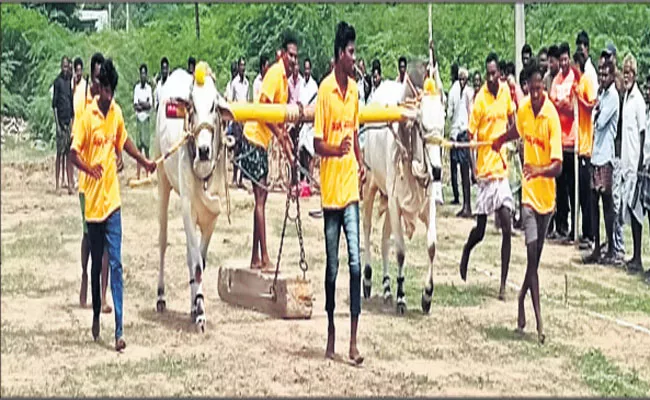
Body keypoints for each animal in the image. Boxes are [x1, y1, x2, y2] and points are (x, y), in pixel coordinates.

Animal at [153, 66, 232, 332]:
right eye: (192, 107)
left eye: (214, 106)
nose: (204, 151)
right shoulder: (188, 209)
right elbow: (197, 265)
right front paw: (200, 311)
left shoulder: (212, 217)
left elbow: (199, 261)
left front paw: (196, 306)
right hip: (163, 181)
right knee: (163, 242)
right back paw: (161, 296)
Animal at [360, 79, 446, 314]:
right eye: (423, 127)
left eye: (443, 124)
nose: (437, 170)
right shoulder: (395, 204)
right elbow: (400, 252)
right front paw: (401, 297)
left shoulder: (427, 204)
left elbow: (432, 246)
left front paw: (427, 295)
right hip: (371, 186)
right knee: (367, 228)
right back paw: (368, 279)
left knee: (383, 240)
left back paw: (387, 287)